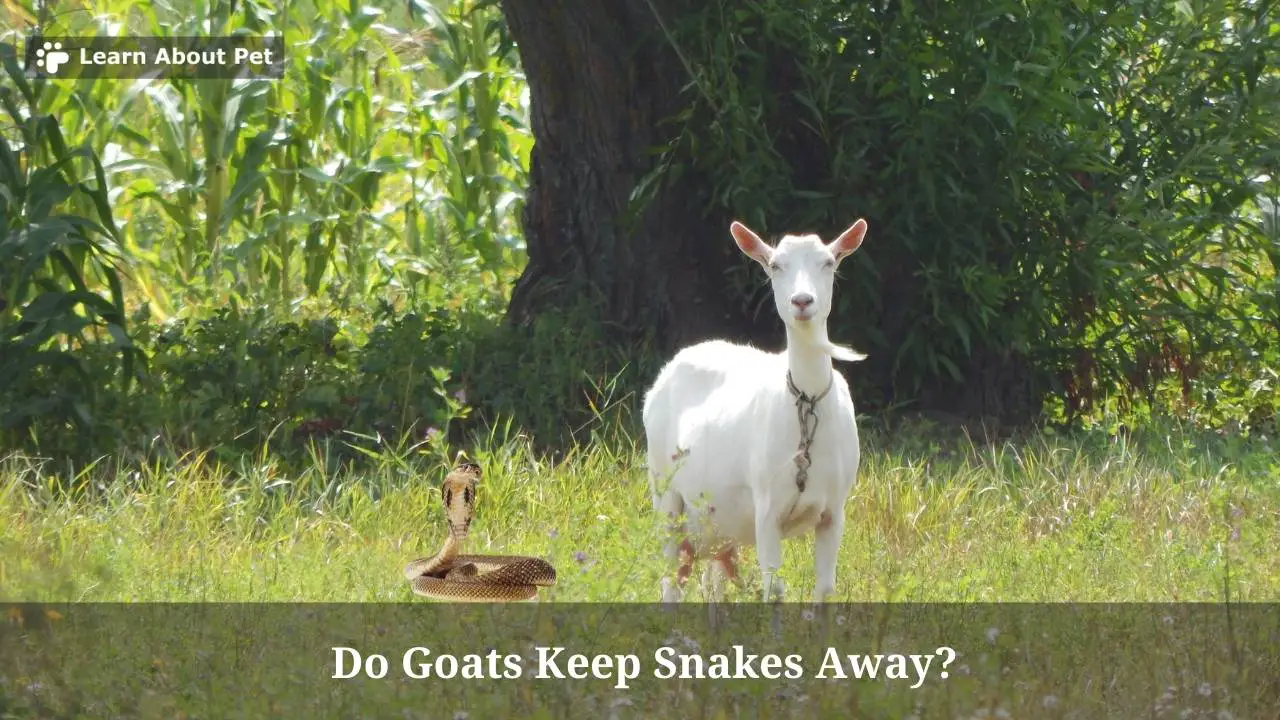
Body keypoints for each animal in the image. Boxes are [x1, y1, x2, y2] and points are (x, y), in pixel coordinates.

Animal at [642, 218, 868, 603]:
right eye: (775, 265)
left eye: (828, 262)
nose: (802, 301)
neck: (806, 404)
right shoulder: (767, 507)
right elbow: (774, 589)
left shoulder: (834, 510)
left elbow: (825, 589)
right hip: (665, 491)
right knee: (671, 580)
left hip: (717, 519)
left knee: (713, 582)